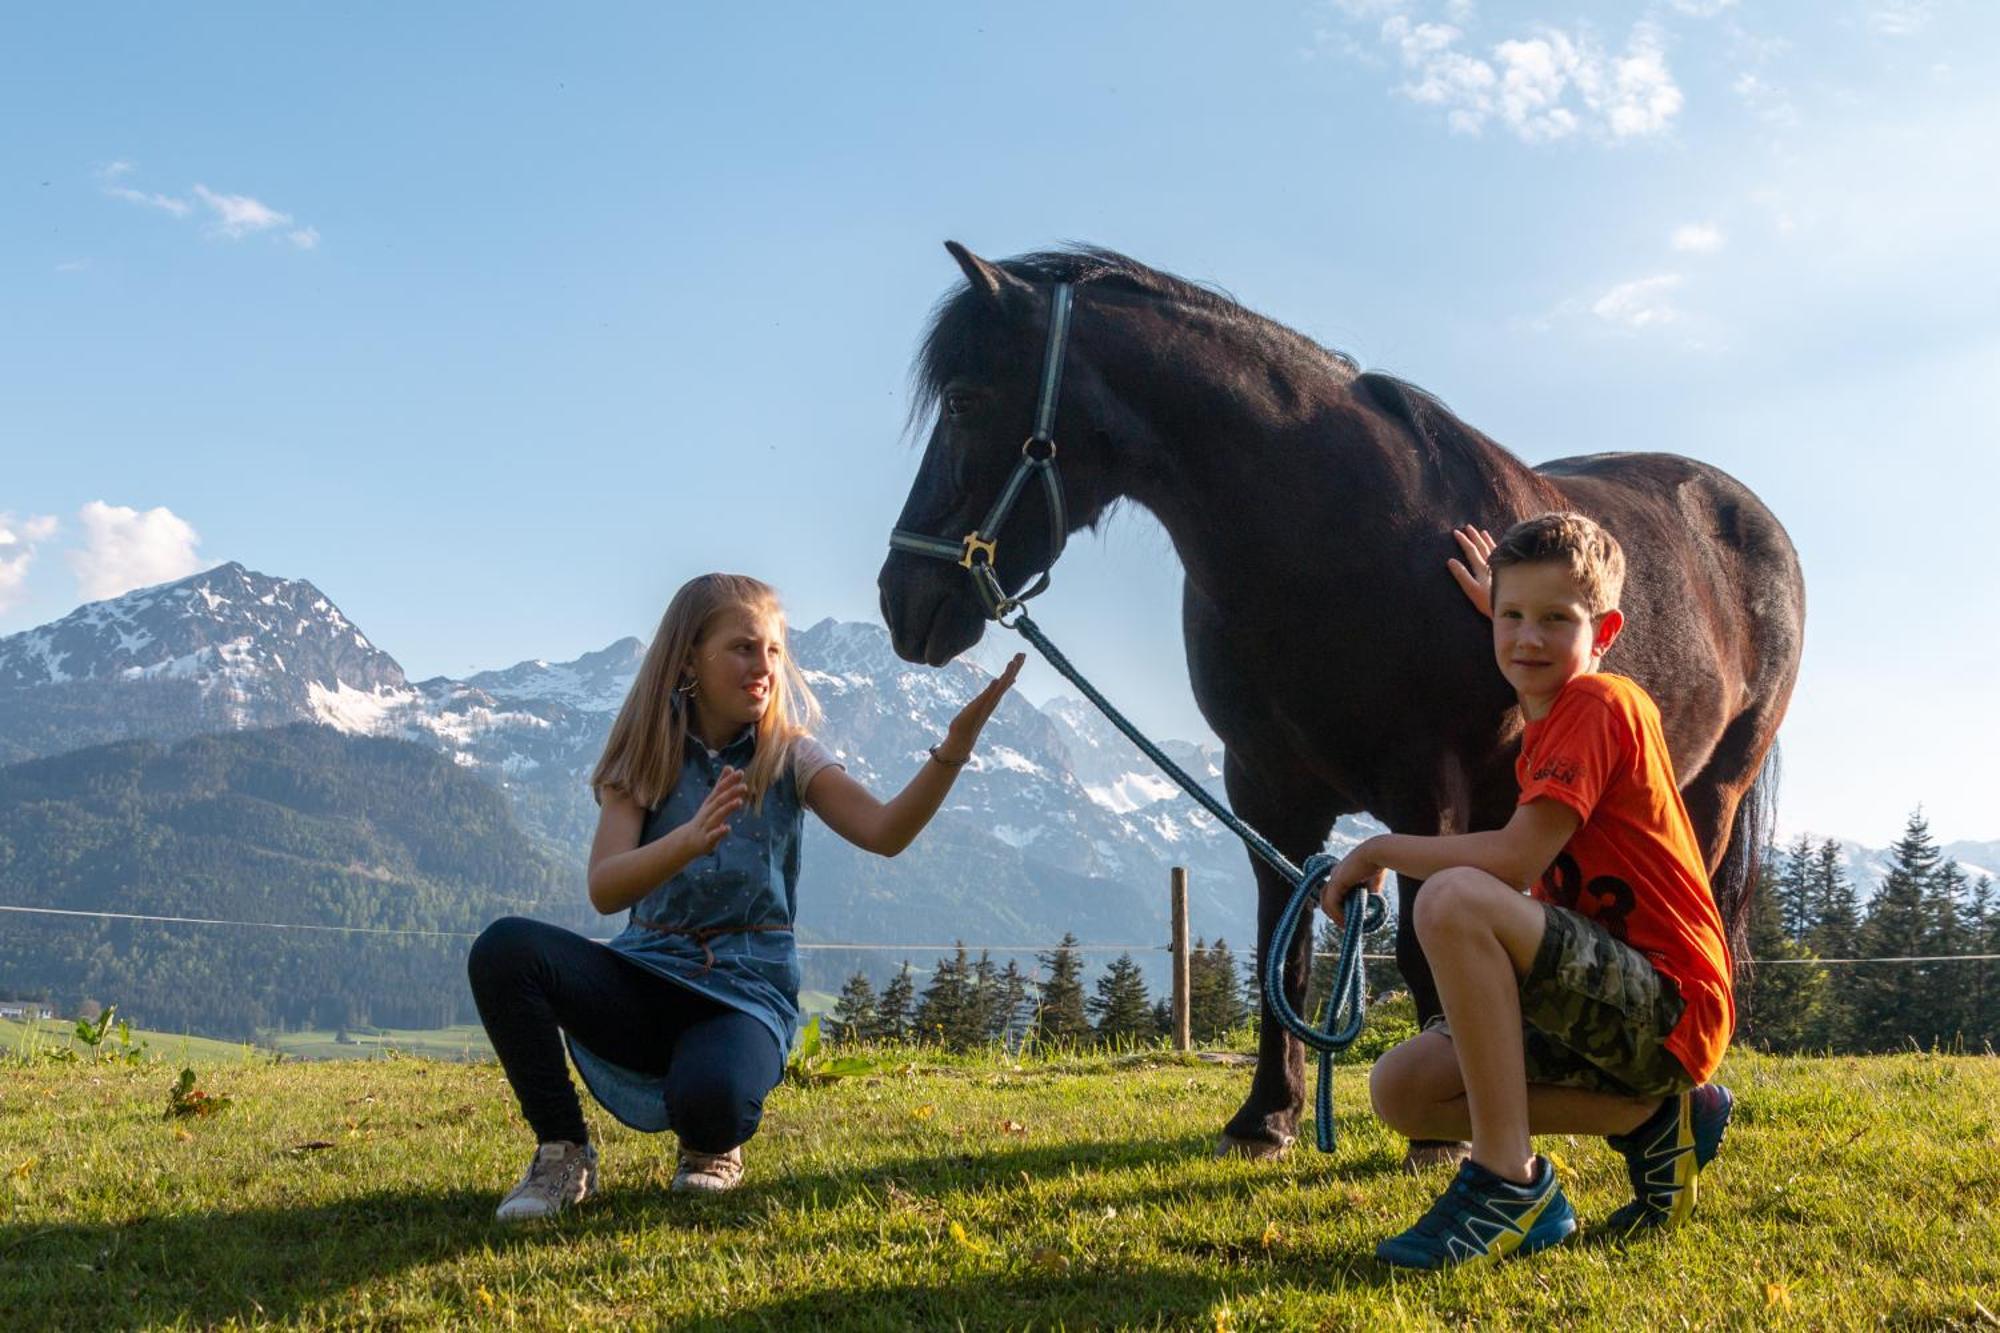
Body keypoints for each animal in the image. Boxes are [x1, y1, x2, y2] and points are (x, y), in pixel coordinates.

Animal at [876, 244, 1800, 1160]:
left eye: (964, 400)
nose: (901, 598)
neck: (1331, 539)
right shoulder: (1264, 791)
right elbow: (1279, 952)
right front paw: (1267, 1115)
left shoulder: (1428, 789)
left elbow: (1422, 937)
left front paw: (1442, 1132)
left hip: (1711, 793)